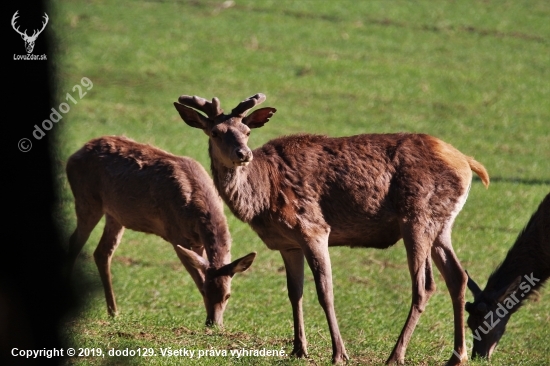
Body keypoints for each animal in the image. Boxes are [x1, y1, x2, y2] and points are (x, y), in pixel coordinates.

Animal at [65, 136, 256, 324]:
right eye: (204, 292)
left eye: (228, 295)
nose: (214, 323)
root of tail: (74, 155)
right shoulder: (175, 234)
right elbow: (197, 275)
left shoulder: (198, 242)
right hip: (86, 200)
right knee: (74, 242)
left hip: (115, 215)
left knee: (102, 252)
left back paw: (114, 312)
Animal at [174, 93, 492, 364]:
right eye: (215, 132)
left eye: (247, 130)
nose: (243, 153)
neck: (263, 196)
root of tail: (468, 163)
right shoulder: (288, 243)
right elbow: (294, 293)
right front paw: (298, 349)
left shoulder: (313, 228)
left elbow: (325, 291)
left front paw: (339, 354)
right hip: (442, 224)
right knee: (457, 276)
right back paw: (456, 356)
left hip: (417, 217)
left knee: (424, 285)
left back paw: (395, 356)